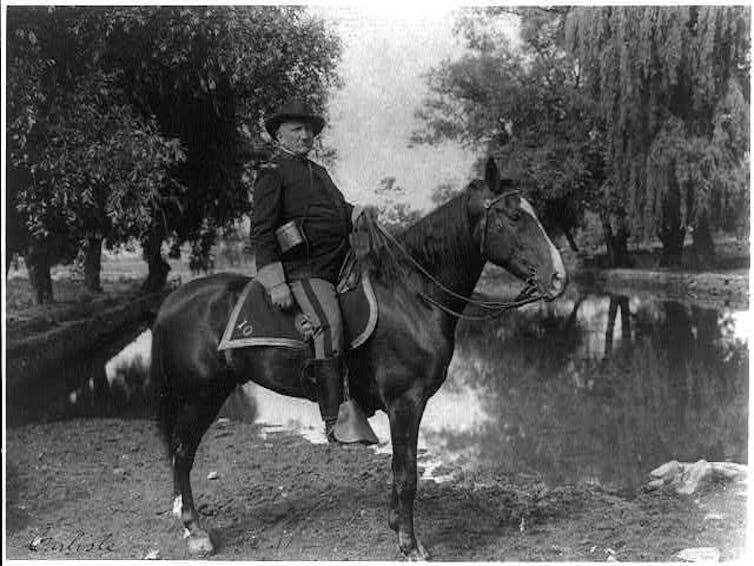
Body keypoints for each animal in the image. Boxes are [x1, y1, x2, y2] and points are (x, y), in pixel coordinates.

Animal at [153, 158, 564, 560]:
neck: (411, 295)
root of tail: (171, 302)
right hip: (199, 398)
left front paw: (399, 528)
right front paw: (410, 545)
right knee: (182, 455)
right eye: (515, 217)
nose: (558, 277)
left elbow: (400, 468)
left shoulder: (407, 407)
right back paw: (195, 532)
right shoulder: (405, 403)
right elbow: (407, 473)